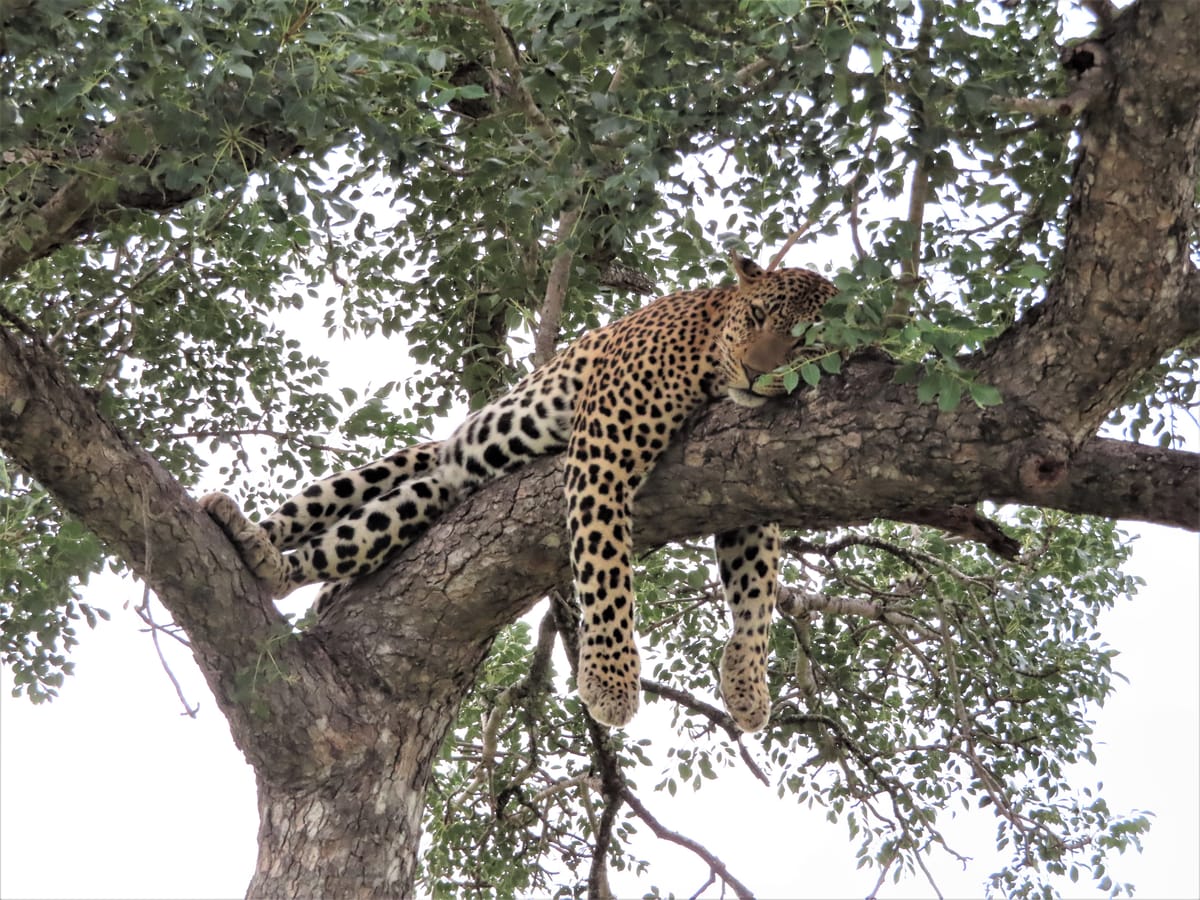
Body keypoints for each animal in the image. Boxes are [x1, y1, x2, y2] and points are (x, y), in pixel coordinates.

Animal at [200, 254, 836, 732]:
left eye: (805, 342)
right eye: (757, 315)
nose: (755, 373)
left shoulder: (745, 483)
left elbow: (757, 590)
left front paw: (747, 684)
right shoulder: (603, 452)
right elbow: (606, 567)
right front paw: (610, 681)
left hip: (419, 497)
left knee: (355, 538)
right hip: (397, 465)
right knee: (307, 516)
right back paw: (250, 537)